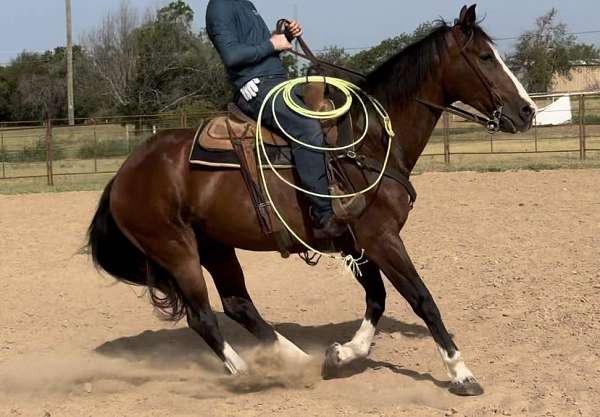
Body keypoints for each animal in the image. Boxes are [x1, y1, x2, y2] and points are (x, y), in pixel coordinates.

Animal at [88, 6, 536, 396]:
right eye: (485, 57)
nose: (528, 111)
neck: (368, 143)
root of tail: (124, 174)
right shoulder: (381, 238)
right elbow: (422, 299)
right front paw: (461, 373)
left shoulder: (357, 244)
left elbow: (377, 299)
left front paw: (342, 354)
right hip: (176, 248)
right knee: (203, 317)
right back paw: (248, 373)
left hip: (215, 246)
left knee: (237, 305)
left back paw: (297, 360)